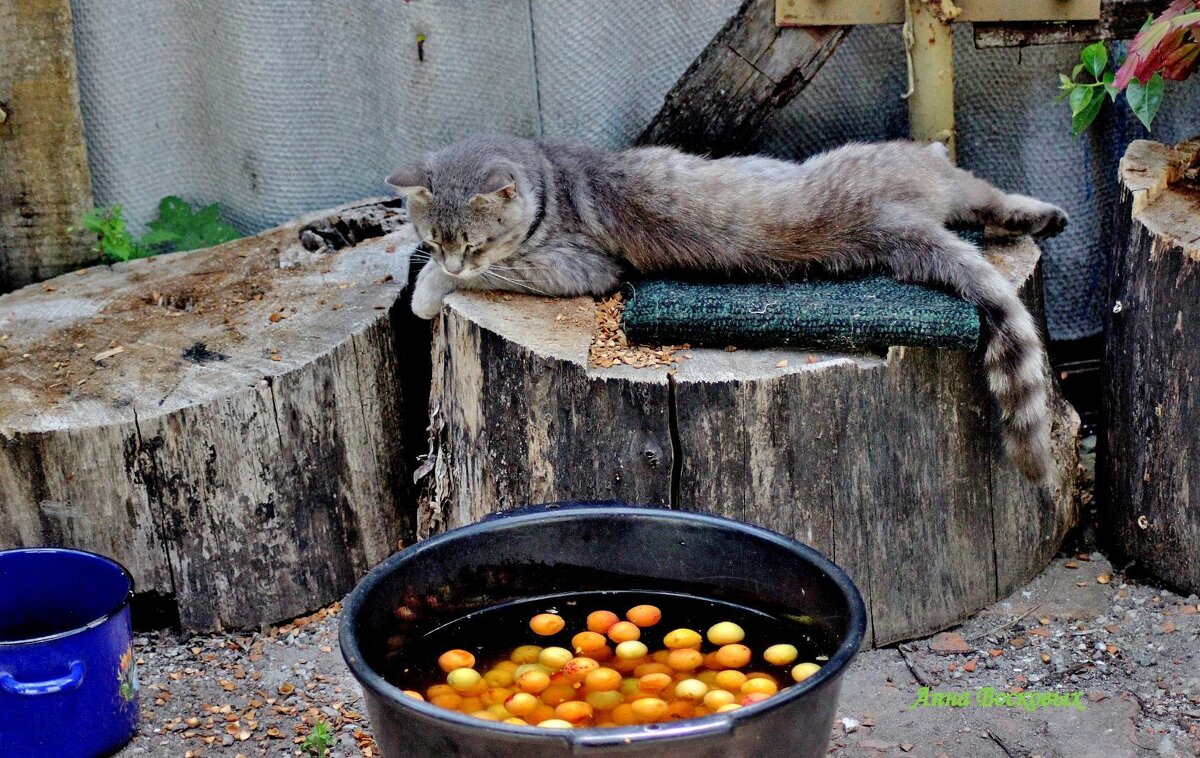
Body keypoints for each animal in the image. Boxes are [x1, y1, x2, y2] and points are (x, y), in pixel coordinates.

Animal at [391, 133, 1070, 482]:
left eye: (472, 242)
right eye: (433, 236)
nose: (452, 260)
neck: (552, 177)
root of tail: (889, 219)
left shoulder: (578, 267)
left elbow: (488, 275)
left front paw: (429, 290)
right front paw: (430, 279)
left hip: (909, 166)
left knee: (980, 189)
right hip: (938, 199)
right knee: (986, 202)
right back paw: (1043, 218)